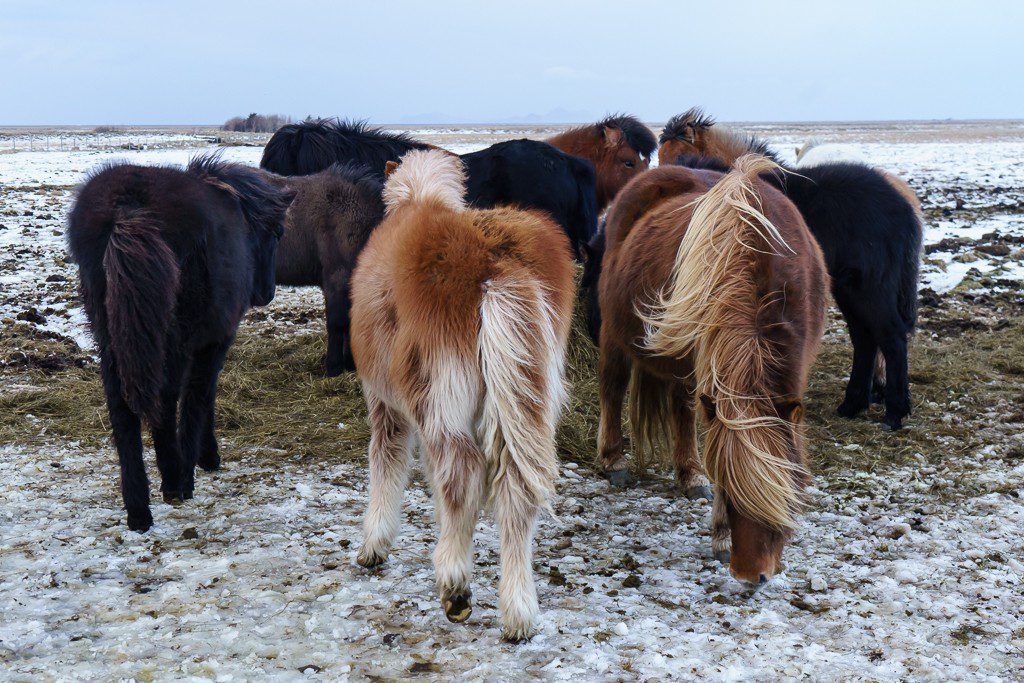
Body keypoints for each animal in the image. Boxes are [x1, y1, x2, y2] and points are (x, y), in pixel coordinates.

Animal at [67, 154, 294, 532]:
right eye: (276, 233)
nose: (265, 293)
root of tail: (128, 207)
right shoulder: (214, 341)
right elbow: (200, 398)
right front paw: (203, 459)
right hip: (171, 339)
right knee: (166, 399)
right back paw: (175, 480)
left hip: (111, 338)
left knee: (122, 411)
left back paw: (138, 510)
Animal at [350, 148, 577, 643]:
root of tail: (496, 264)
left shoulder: (385, 404)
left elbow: (387, 462)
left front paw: (374, 545)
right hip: (529, 396)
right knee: (516, 489)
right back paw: (519, 613)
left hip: (440, 396)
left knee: (462, 474)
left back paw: (455, 584)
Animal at [598, 157, 827, 585]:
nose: (751, 574)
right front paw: (721, 536)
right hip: (614, 332)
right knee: (612, 387)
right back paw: (613, 461)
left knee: (681, 409)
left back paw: (689, 475)